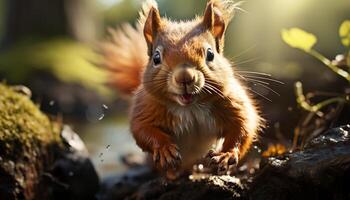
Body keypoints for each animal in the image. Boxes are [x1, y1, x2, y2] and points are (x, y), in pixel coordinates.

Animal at [100, 0, 262, 178]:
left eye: (210, 54)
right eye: (156, 58)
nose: (185, 77)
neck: (191, 108)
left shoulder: (232, 102)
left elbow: (243, 126)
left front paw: (226, 155)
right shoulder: (146, 107)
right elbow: (142, 129)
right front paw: (164, 149)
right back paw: (171, 173)